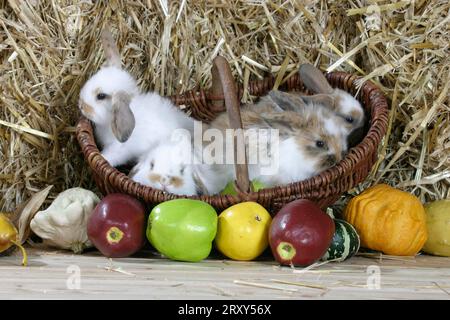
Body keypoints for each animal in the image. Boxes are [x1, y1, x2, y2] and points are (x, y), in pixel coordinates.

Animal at [78, 27, 194, 168]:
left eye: (101, 96)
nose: (81, 105)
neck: (108, 123)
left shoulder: (118, 149)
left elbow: (108, 157)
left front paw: (100, 159)